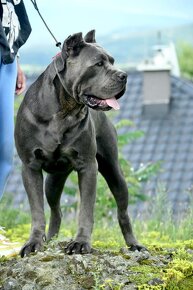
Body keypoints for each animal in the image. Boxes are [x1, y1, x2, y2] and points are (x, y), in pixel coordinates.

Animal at [14, 29, 143, 258]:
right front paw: (34, 242)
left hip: (114, 172)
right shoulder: (30, 167)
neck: (64, 110)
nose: (124, 75)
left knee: (123, 212)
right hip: (53, 182)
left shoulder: (88, 166)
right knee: (56, 210)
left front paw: (81, 243)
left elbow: (86, 210)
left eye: (112, 61)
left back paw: (133, 244)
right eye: (98, 64)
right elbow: (37, 211)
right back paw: (51, 239)